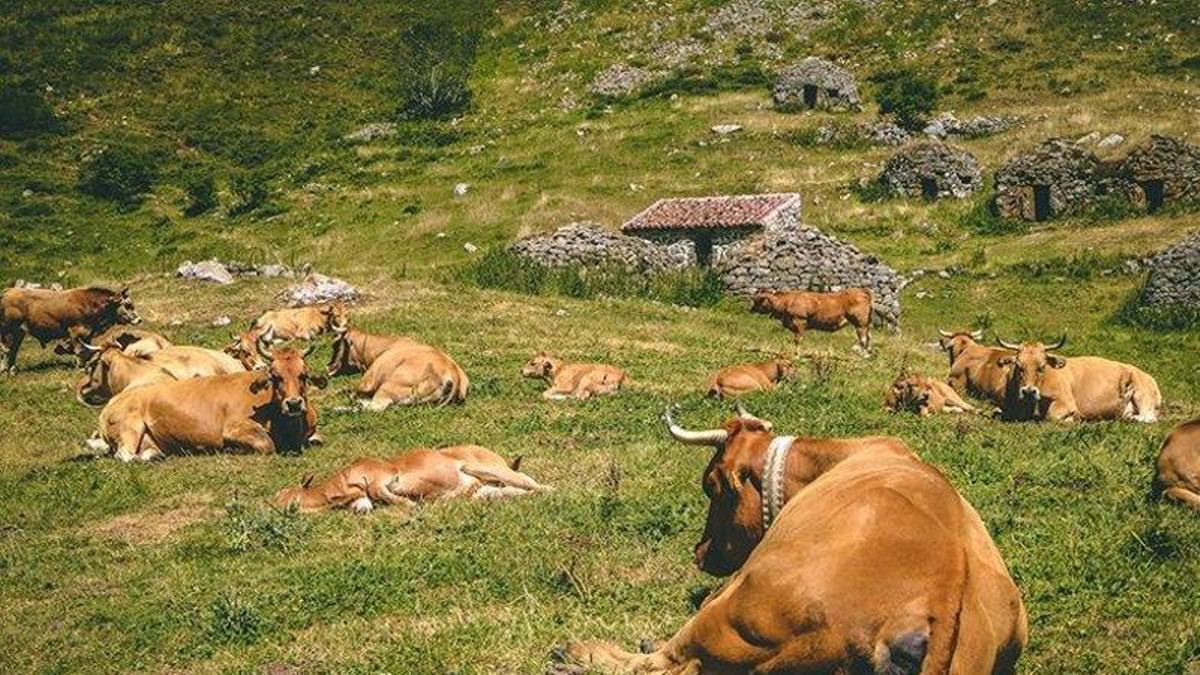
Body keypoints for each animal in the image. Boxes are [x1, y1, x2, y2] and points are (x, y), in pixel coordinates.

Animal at [1, 285, 140, 373]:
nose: (139, 319)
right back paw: (5, 369)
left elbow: (86, 350)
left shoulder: (87, 335)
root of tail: (8, 291)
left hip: (19, 333)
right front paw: (81, 368)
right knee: (6, 350)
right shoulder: (76, 333)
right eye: (128, 305)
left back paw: (12, 369)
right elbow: (80, 350)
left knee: (13, 349)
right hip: (8, 331)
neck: (90, 304)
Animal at [91, 337, 322, 462]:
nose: (294, 403)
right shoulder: (234, 428)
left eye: (304, 374)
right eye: (275, 376)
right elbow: (267, 445)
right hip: (129, 428)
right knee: (125, 455)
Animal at [554, 405, 1027, 674]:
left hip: (733, 617)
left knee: (663, 662)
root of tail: (941, 594)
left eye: (710, 485)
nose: (700, 552)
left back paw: (579, 653)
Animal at [750, 288, 885, 351]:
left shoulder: (800, 321)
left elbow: (798, 340)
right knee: (869, 336)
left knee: (863, 338)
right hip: (866, 323)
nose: (751, 310)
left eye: (758, 301)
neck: (788, 301)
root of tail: (861, 290)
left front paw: (797, 352)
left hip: (860, 322)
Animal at [995, 336, 1161, 423]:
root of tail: (1148, 376)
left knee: (1148, 417)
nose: (1029, 392)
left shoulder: (1066, 402)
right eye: (1019, 366)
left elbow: (1051, 416)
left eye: (1041, 367)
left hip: (1142, 394)